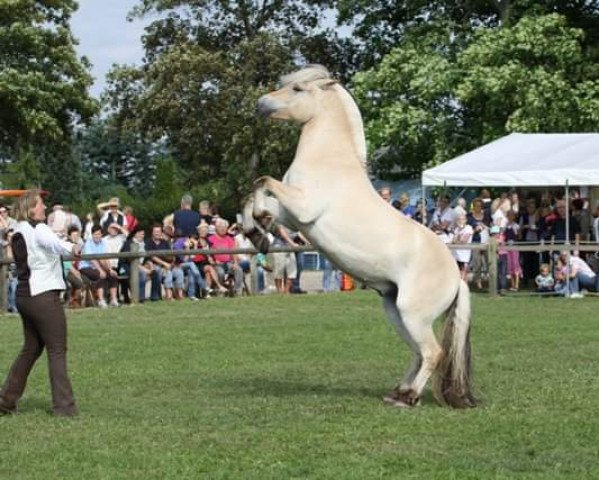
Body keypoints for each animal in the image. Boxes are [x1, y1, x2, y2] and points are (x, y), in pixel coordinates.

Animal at [244, 64, 478, 408]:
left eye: (298, 89)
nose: (261, 104)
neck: (329, 160)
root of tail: (457, 279)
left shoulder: (303, 208)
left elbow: (263, 181)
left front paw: (259, 224)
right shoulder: (291, 214)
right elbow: (253, 196)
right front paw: (256, 231)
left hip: (413, 314)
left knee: (433, 352)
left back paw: (408, 398)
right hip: (396, 312)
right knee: (417, 353)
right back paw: (398, 392)